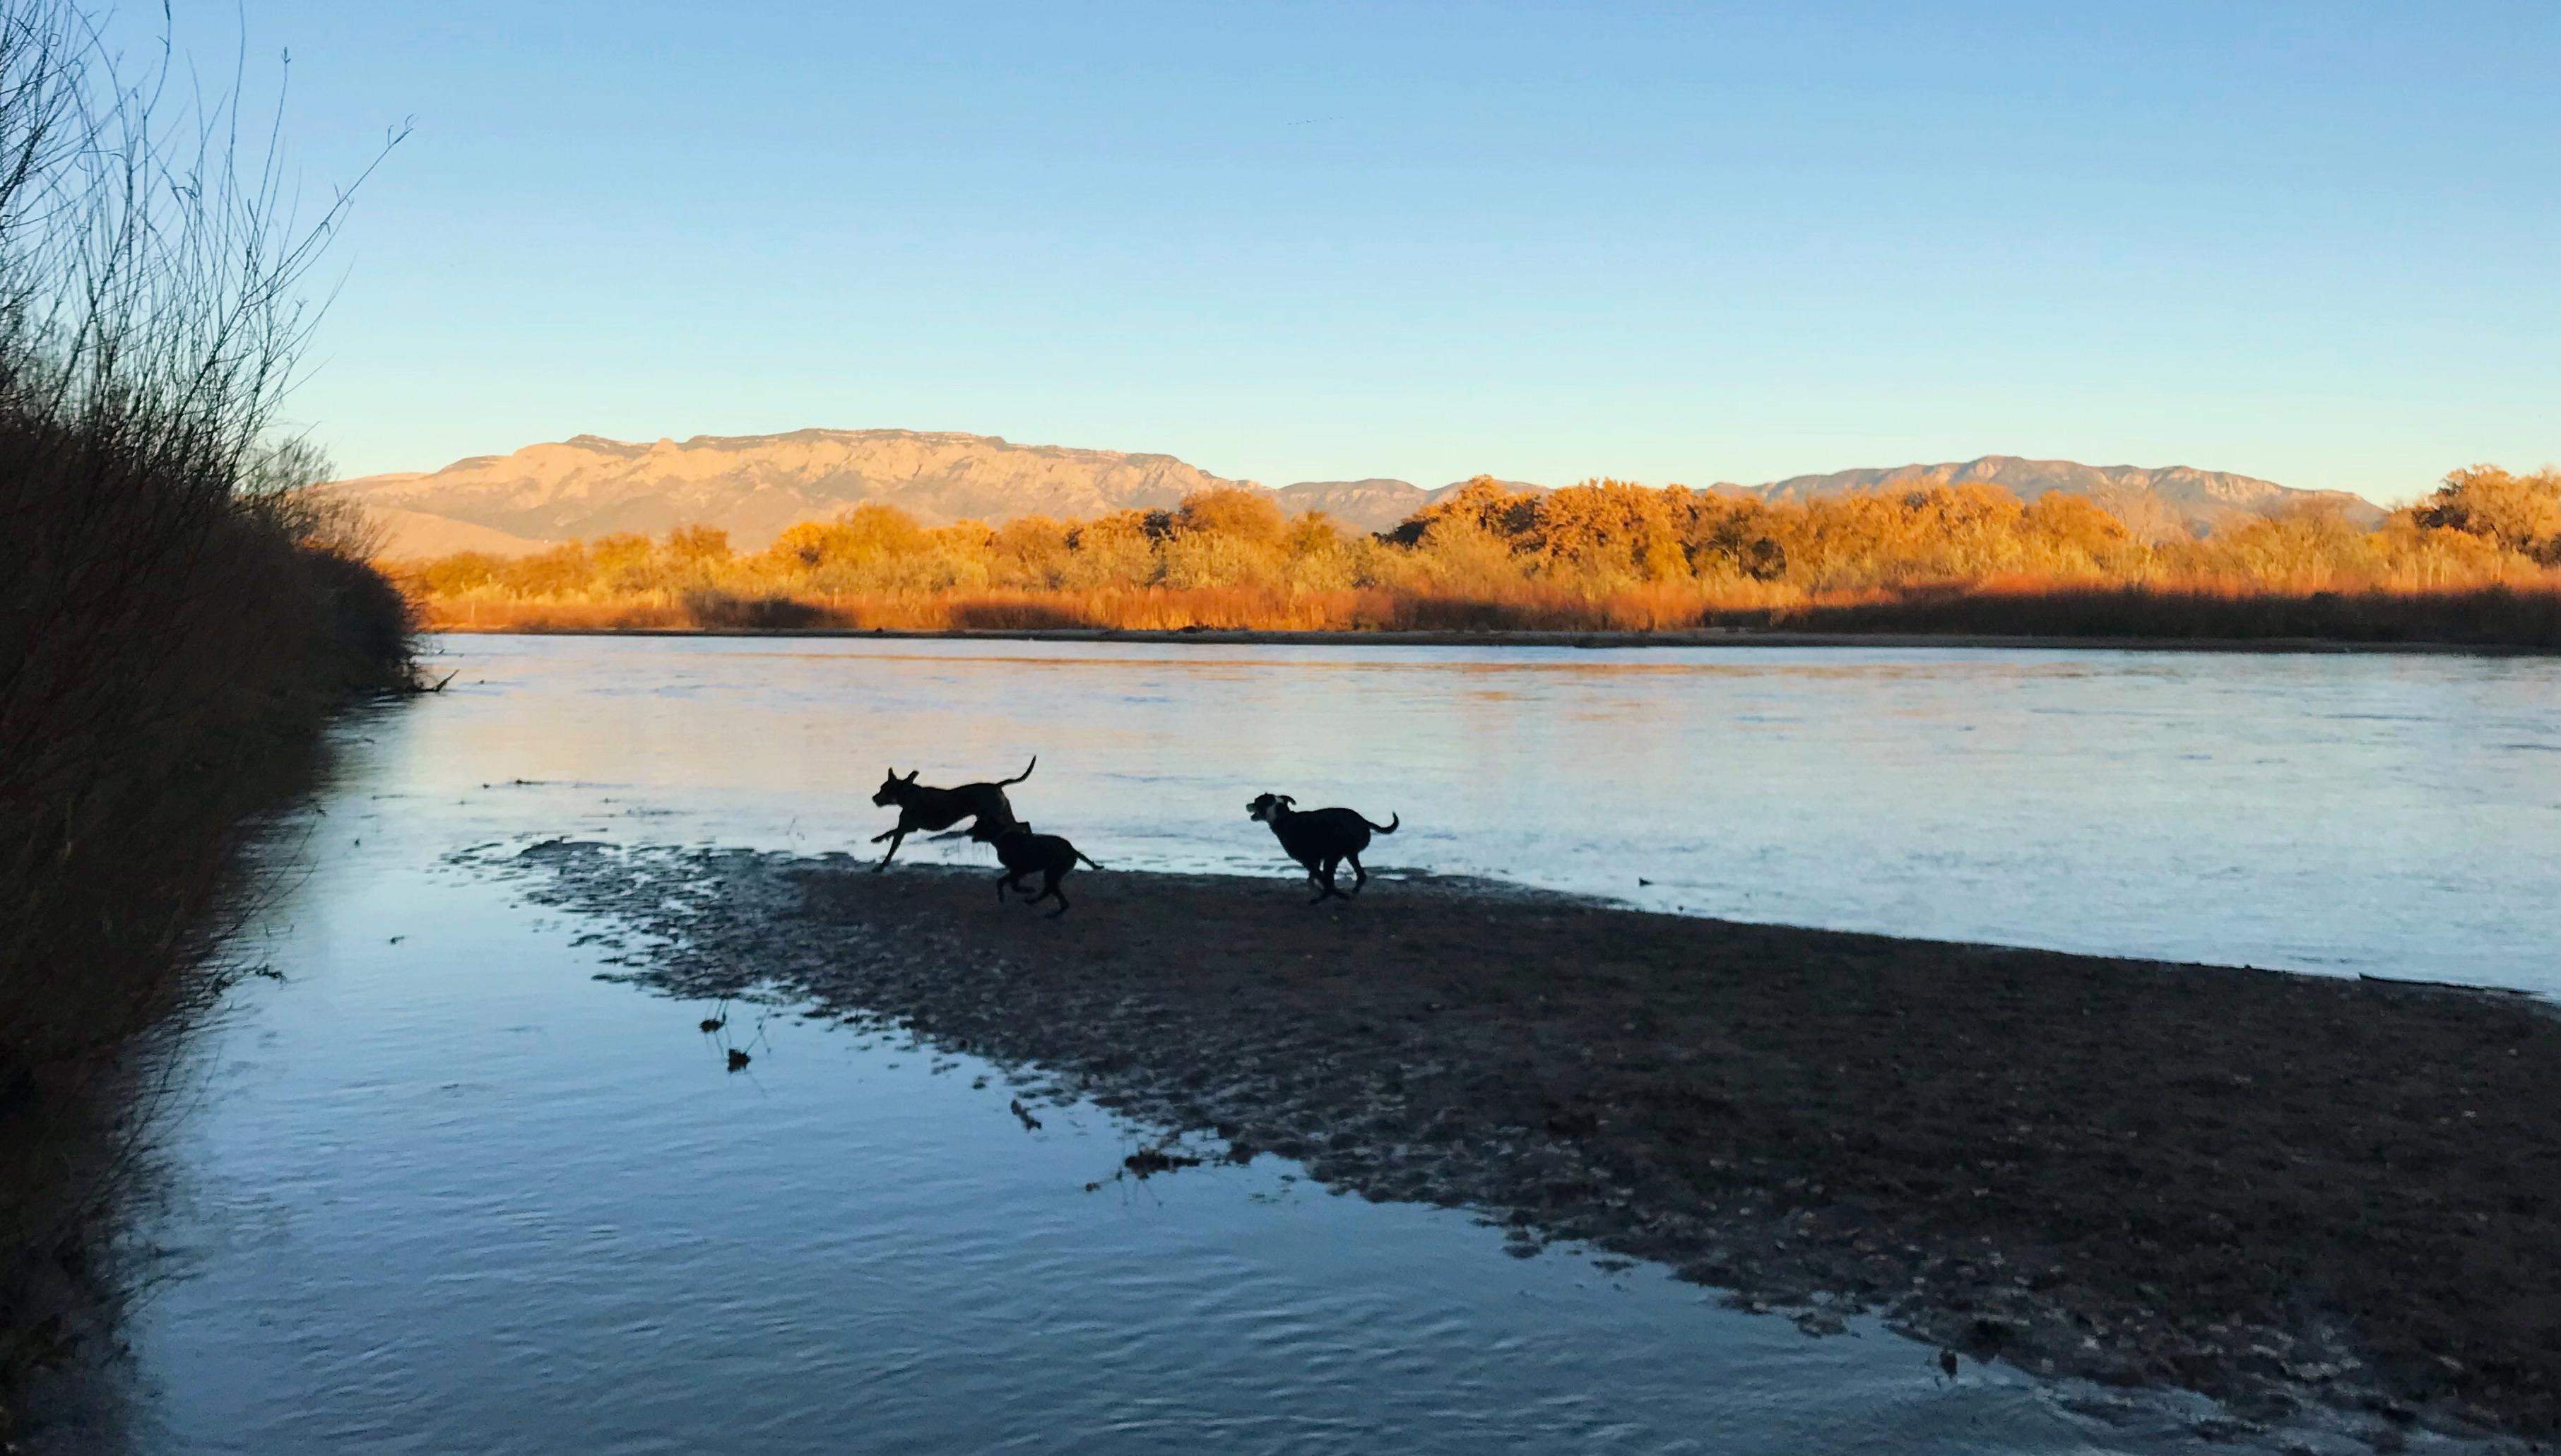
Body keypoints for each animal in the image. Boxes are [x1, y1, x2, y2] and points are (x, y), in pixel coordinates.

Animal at [865, 757, 1034, 870]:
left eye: (884, 789)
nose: (874, 798)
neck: (909, 796)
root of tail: (997, 786)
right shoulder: (908, 828)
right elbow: (892, 840)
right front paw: (882, 853)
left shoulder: (909, 827)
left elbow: (892, 837)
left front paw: (879, 846)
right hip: (1001, 814)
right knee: (1023, 824)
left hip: (996, 816)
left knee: (1020, 826)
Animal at [963, 824, 1106, 916]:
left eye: (977, 825)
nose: (966, 831)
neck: (1001, 837)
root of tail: (1073, 850)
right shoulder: (1016, 871)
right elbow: (1001, 882)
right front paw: (1002, 897)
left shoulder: (1019, 870)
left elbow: (1013, 886)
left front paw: (1027, 890)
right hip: (1052, 873)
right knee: (1054, 895)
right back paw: (1036, 904)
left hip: (1052, 872)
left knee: (1059, 898)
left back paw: (1046, 910)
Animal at [1244, 788, 1403, 900]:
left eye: (1256, 802)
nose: (1247, 805)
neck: (1283, 818)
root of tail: (1365, 821)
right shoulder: (1315, 859)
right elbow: (1313, 878)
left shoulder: (1307, 859)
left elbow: (1319, 876)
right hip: (1349, 854)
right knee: (1360, 875)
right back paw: (1351, 893)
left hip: (1335, 855)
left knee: (1338, 878)